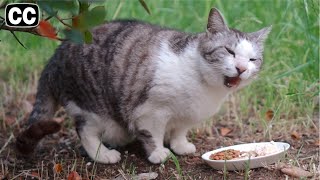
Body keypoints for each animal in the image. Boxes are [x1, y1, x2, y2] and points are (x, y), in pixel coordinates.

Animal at [16, 7, 272, 164]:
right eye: (229, 51)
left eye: (252, 60)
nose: (241, 68)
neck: (206, 89)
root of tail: (56, 55)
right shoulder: (151, 112)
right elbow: (153, 135)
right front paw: (159, 153)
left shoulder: (187, 115)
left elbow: (180, 130)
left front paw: (180, 145)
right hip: (92, 107)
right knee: (85, 130)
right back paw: (103, 155)